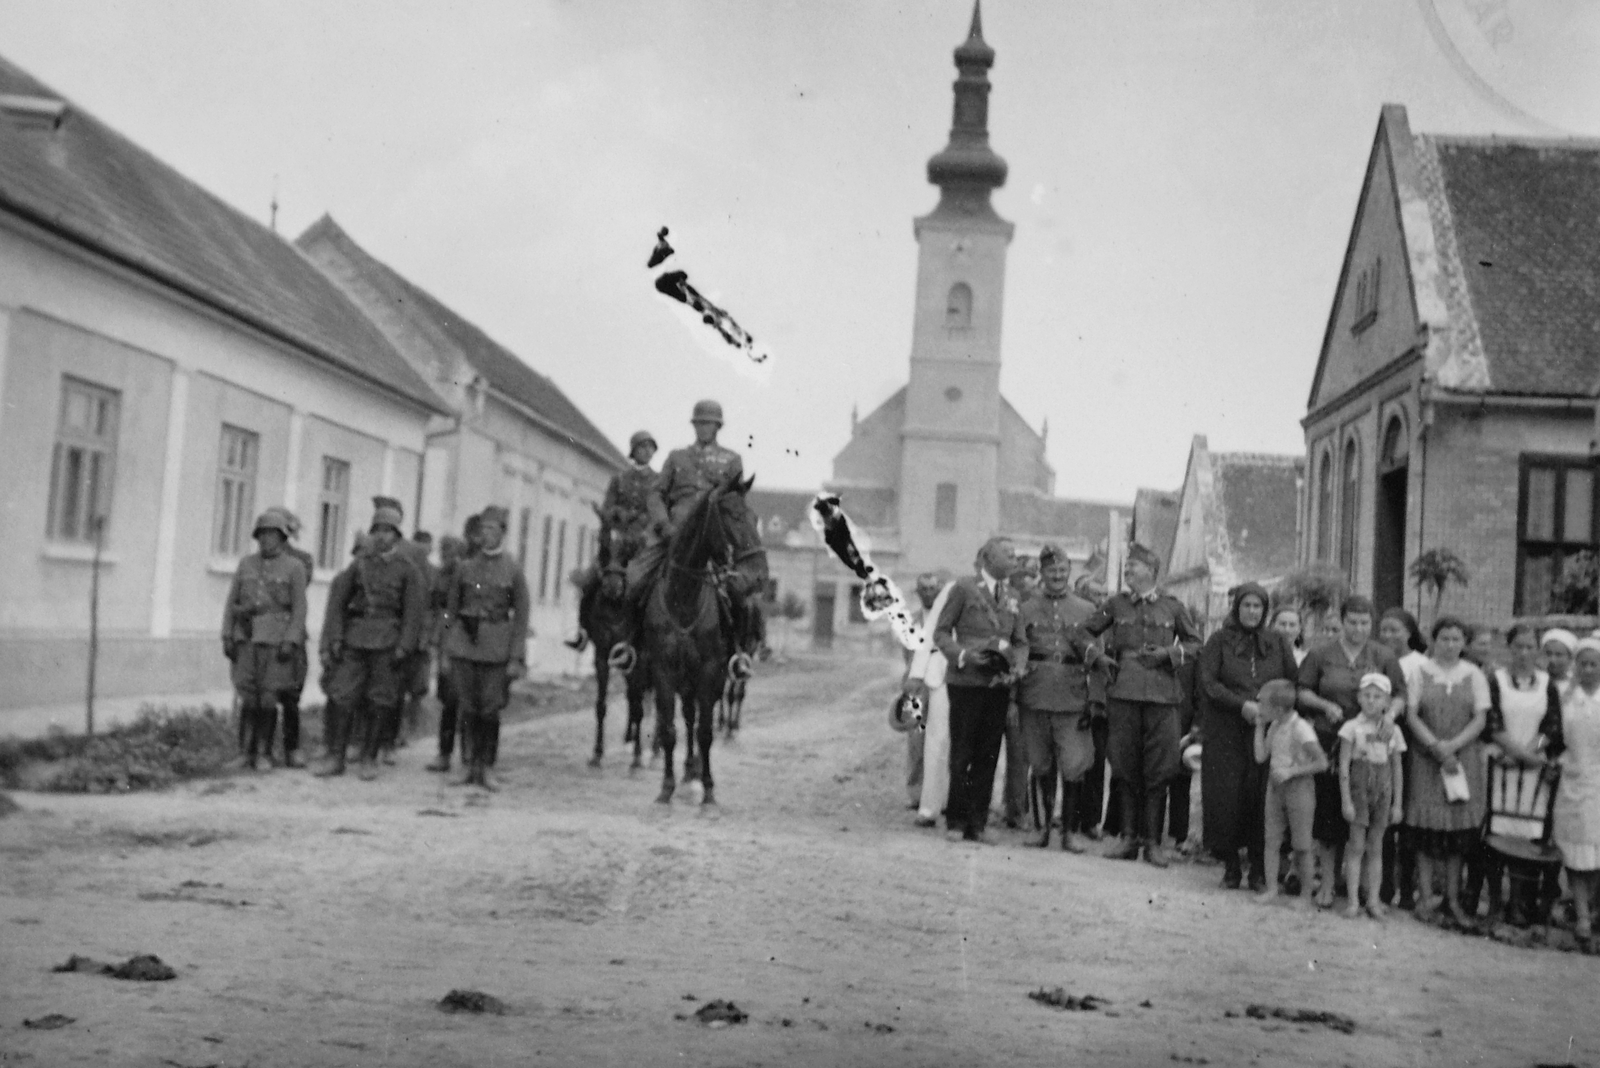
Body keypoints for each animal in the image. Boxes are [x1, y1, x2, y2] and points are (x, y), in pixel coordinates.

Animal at [640, 470, 764, 805]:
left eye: (754, 516)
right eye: (734, 515)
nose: (759, 575)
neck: (684, 597)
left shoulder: (711, 670)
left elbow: (705, 731)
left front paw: (707, 792)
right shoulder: (664, 670)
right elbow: (670, 729)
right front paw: (665, 789)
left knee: (701, 717)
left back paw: (695, 771)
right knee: (686, 717)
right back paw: (685, 773)